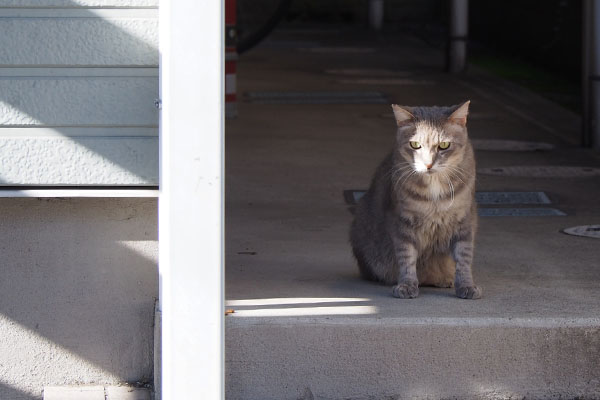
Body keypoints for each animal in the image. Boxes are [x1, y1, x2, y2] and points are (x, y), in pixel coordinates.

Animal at [350, 101, 480, 298]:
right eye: (415, 145)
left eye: (444, 145)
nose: (428, 164)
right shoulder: (402, 222)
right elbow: (407, 257)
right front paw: (407, 285)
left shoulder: (464, 221)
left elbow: (464, 256)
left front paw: (466, 285)